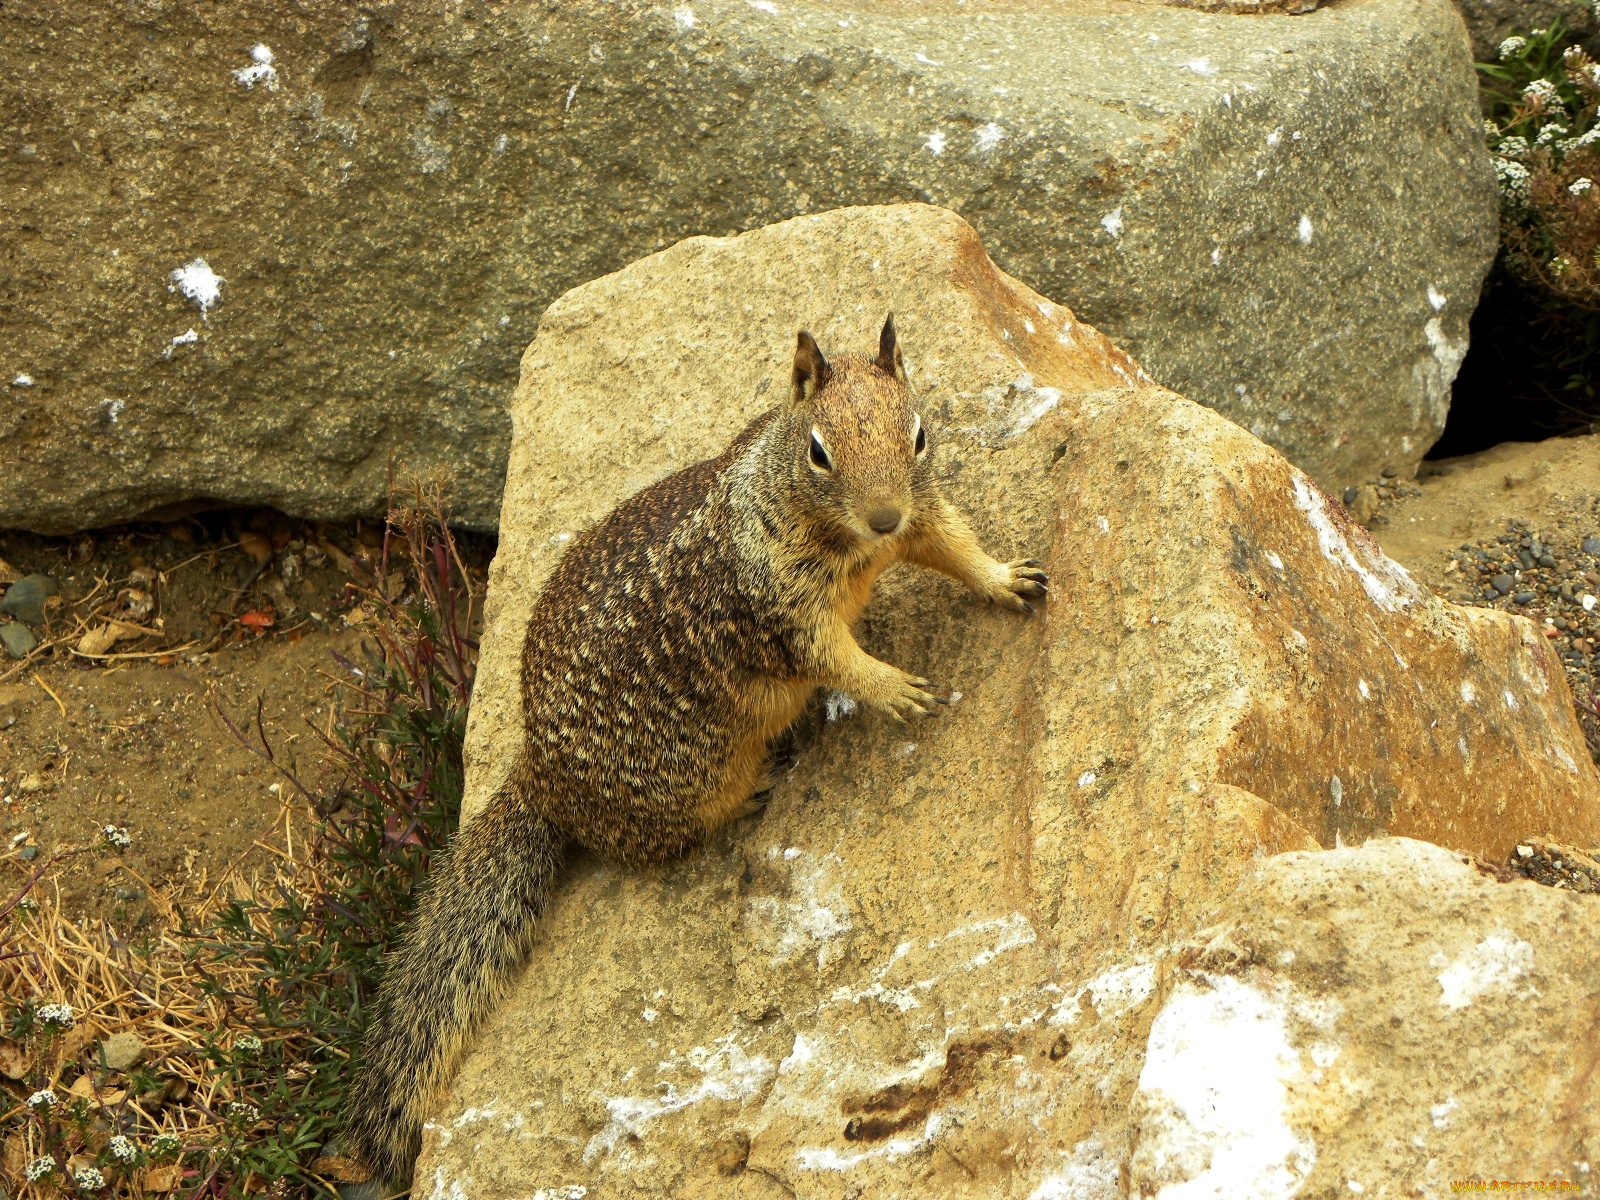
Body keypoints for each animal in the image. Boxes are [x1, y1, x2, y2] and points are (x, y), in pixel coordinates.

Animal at [344, 315, 1049, 1190]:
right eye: (819, 452)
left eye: (918, 434)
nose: (882, 516)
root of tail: (539, 776)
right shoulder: (782, 608)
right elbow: (833, 658)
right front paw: (892, 687)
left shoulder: (922, 513)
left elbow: (954, 542)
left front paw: (1005, 577)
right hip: (689, 780)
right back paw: (755, 788)